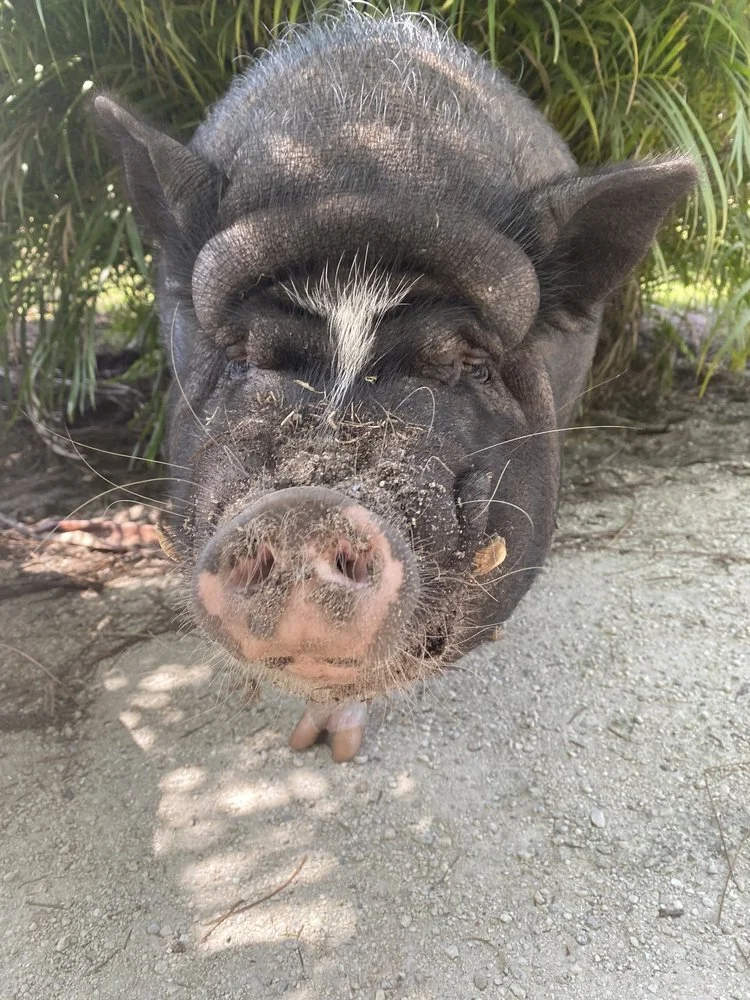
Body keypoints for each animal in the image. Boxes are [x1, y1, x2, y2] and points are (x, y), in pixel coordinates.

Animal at [94, 11, 696, 760]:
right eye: (239, 354)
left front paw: (337, 748)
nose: (303, 508)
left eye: (467, 364)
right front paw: (310, 746)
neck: (368, 172)